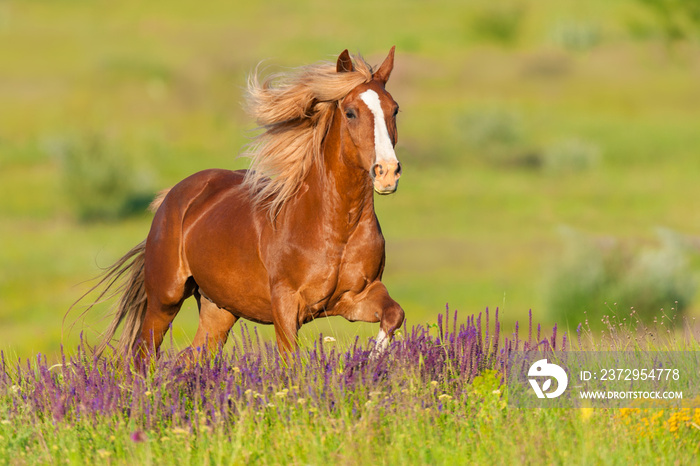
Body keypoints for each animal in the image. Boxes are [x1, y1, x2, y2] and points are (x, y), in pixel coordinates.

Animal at [87, 48, 404, 356]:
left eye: (394, 109)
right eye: (350, 113)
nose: (387, 172)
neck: (336, 228)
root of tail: (172, 197)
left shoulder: (355, 297)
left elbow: (394, 315)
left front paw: (372, 358)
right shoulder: (286, 305)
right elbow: (291, 360)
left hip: (219, 309)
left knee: (192, 356)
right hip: (165, 299)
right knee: (143, 354)